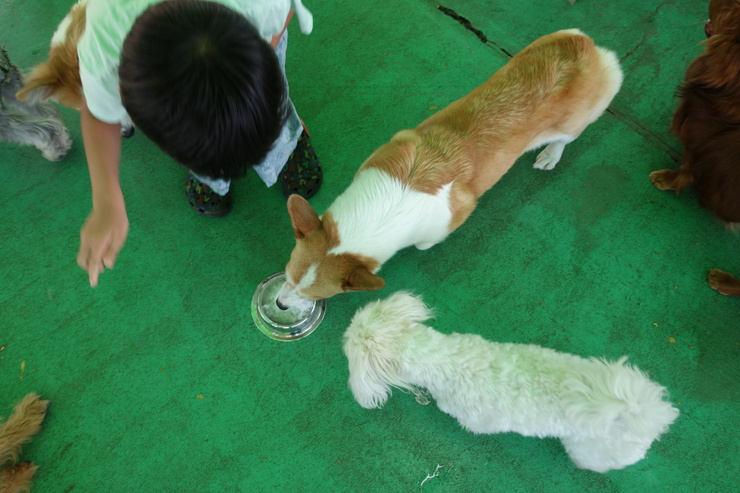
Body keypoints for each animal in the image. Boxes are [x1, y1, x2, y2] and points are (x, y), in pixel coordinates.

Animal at [278, 29, 624, 308]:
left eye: (313, 296)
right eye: (287, 276)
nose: (280, 304)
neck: (385, 209)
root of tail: (585, 46)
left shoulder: (444, 224)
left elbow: (425, 243)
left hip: (574, 123)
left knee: (566, 138)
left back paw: (550, 155)